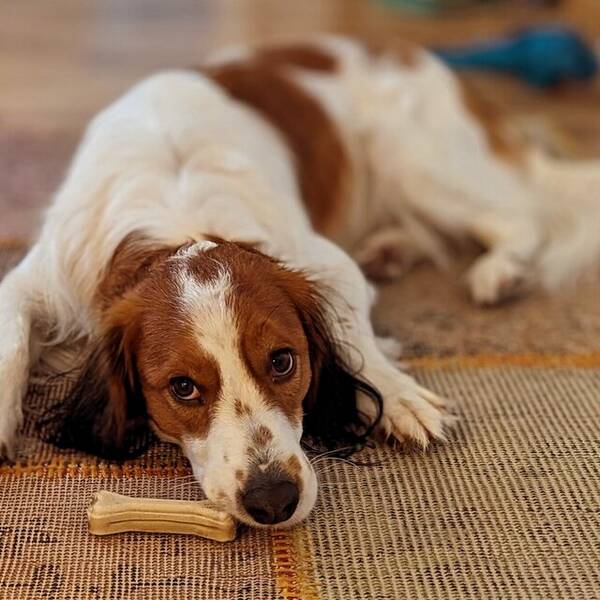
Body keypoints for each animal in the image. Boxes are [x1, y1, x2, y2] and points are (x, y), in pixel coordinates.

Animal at [1, 36, 600, 524]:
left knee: (521, 217)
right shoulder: (42, 274)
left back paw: (499, 272)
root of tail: (409, 52)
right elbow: (14, 333)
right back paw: (392, 248)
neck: (179, 216)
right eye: (183, 388)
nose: (273, 500)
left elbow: (354, 330)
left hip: (422, 166)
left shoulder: (322, 259)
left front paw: (398, 395)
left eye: (284, 360)